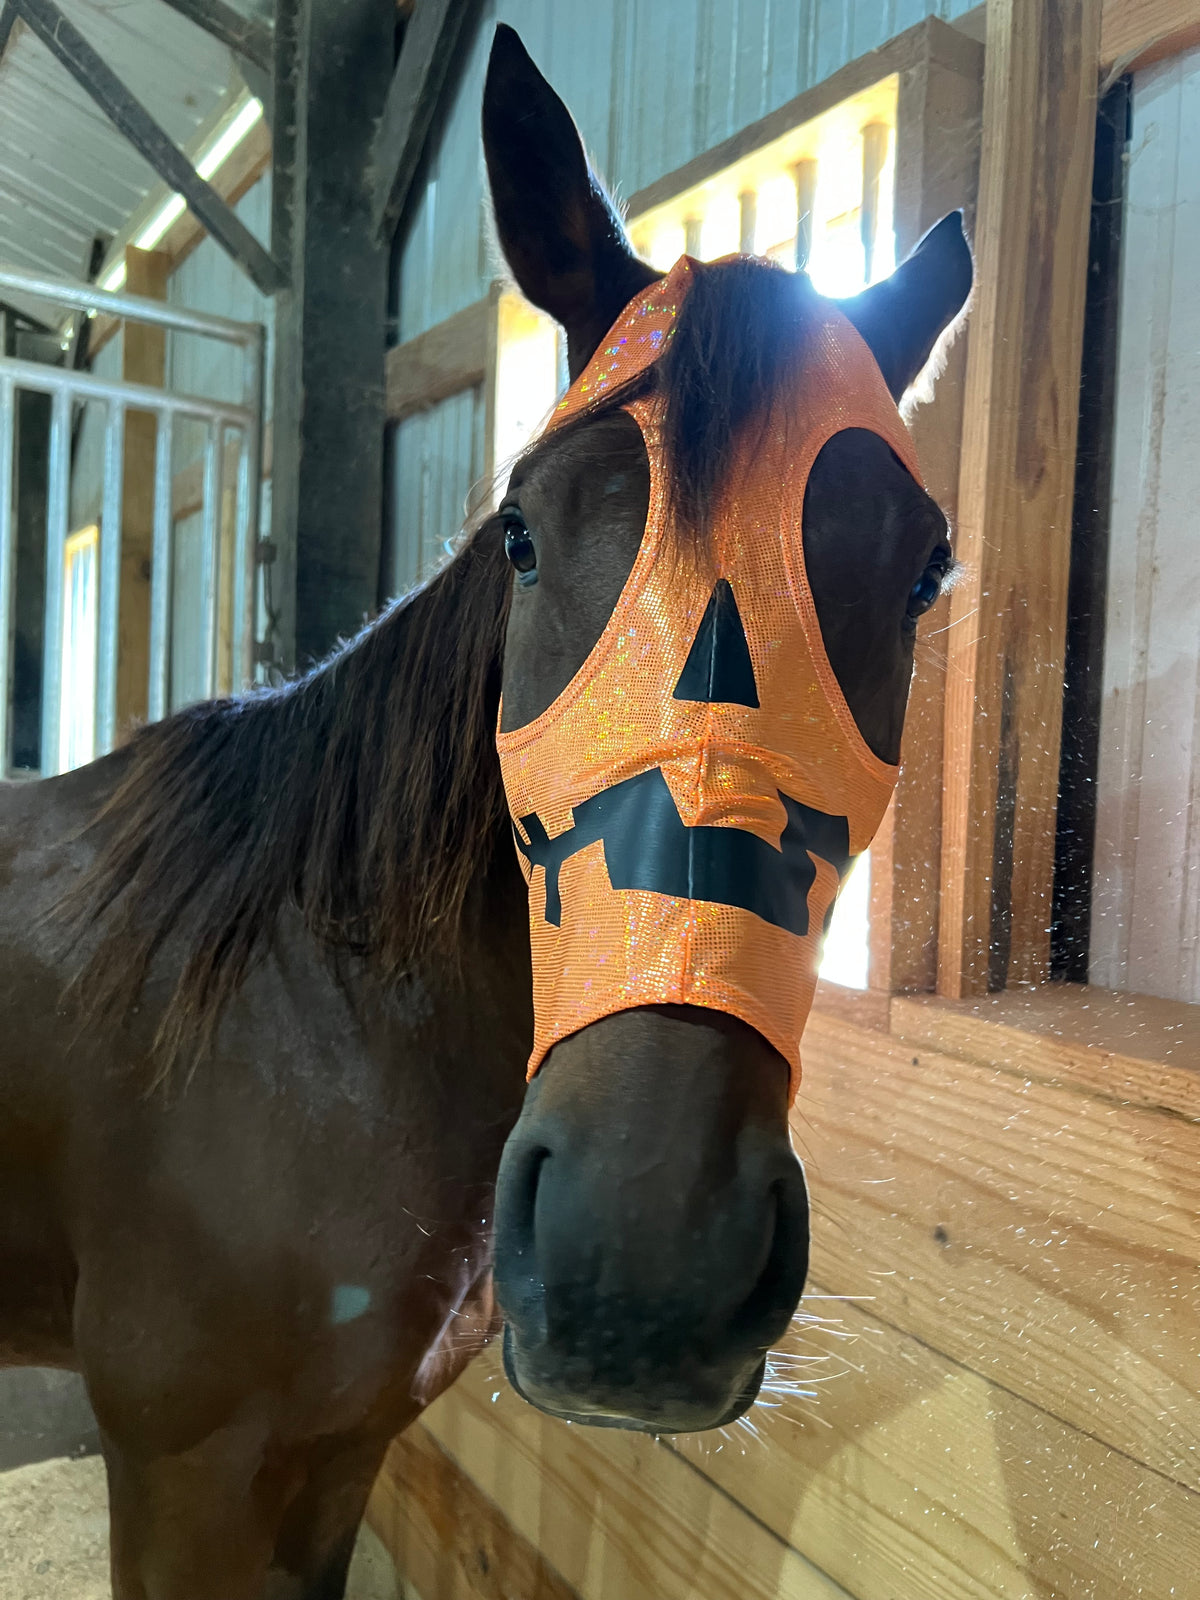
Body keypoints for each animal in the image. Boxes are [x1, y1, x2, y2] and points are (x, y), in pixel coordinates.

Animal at [0, 24, 971, 1600]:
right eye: (520, 530)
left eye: (923, 576)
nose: (644, 1268)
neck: (308, 1015)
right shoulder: (181, 1474)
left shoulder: (333, 1453)